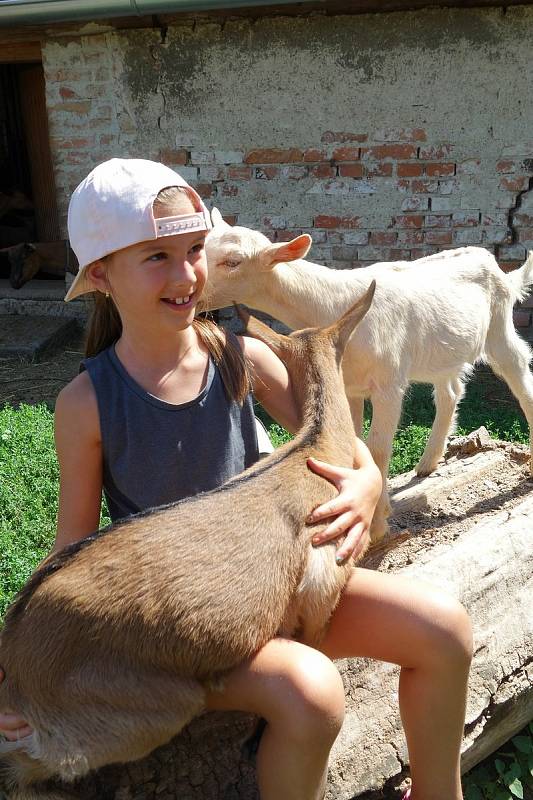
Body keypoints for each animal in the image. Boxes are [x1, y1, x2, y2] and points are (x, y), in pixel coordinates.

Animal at [203, 209, 532, 540]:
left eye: (233, 261)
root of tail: (495, 265)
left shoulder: (389, 383)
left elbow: (378, 449)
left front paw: (376, 523)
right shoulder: (350, 386)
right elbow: (352, 441)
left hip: (499, 327)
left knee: (518, 369)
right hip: (441, 350)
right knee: (450, 392)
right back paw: (428, 461)